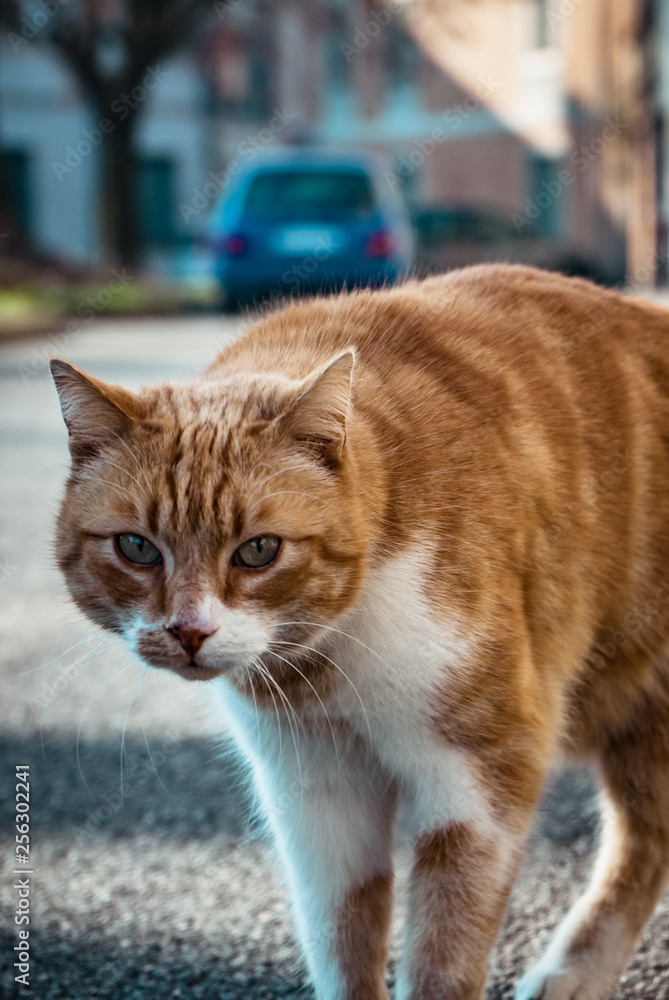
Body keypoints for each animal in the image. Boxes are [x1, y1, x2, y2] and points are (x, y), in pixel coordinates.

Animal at [51, 266, 668, 1000]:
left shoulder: (481, 773)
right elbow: (342, 931)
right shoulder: (314, 791)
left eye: (258, 551)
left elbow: (441, 952)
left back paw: (569, 974)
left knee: (643, 838)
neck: (322, 662)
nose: (190, 631)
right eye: (137, 549)